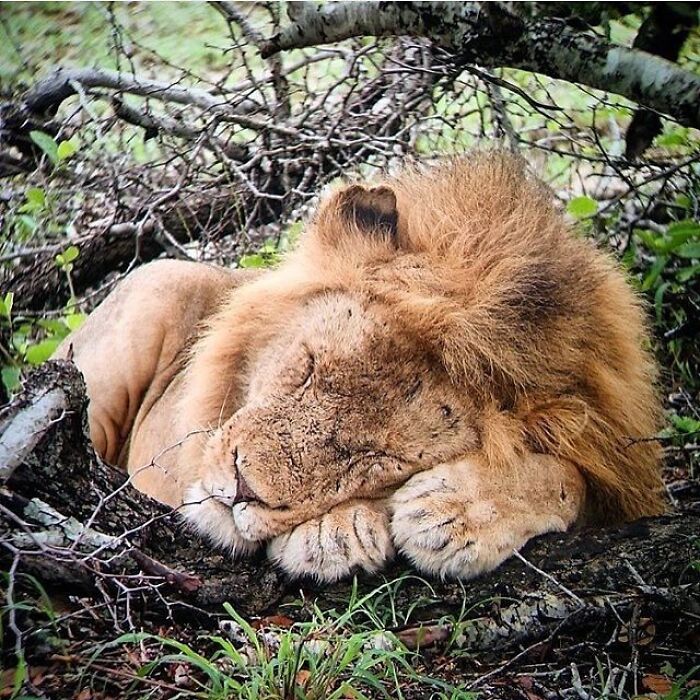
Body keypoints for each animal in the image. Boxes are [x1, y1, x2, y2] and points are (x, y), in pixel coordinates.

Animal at [55, 152, 665, 582]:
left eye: (373, 457)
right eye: (306, 367)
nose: (242, 486)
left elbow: (571, 479)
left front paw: (454, 511)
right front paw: (338, 531)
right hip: (159, 286)